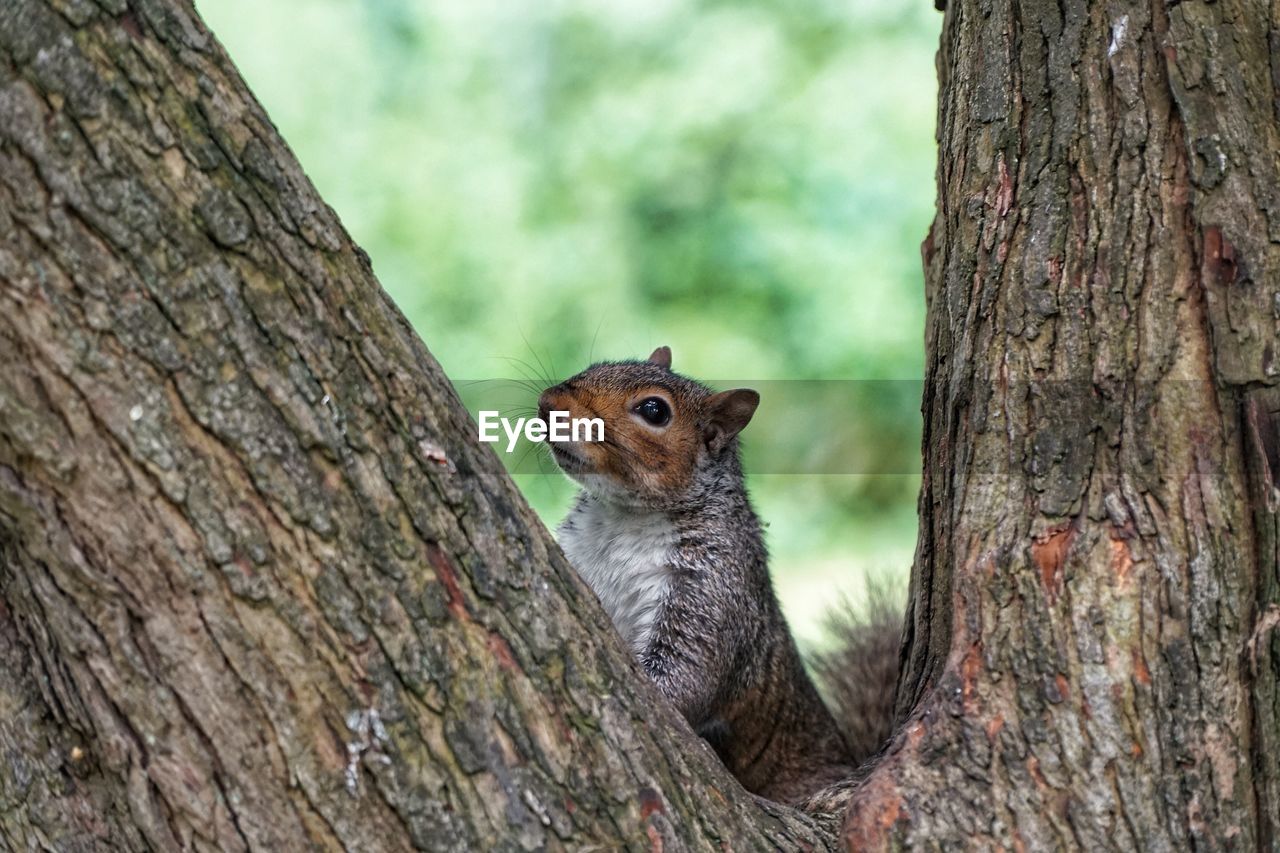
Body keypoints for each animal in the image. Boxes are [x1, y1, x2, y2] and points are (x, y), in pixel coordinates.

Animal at [537, 343, 901, 804]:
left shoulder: (711, 588)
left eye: (654, 410)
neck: (624, 517)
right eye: (597, 364)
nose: (547, 403)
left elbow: (685, 678)